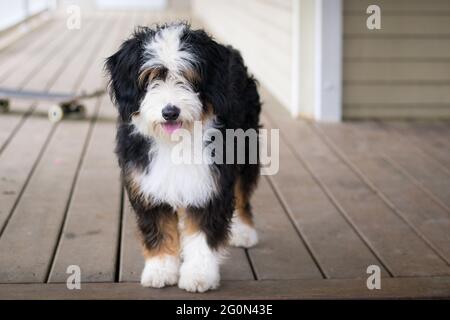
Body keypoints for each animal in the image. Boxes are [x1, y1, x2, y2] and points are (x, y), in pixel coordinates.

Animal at [105, 22, 260, 292]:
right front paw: (160, 270)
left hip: (247, 147)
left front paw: (199, 275)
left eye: (187, 77)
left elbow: (201, 234)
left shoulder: (209, 184)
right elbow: (158, 228)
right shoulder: (148, 184)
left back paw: (244, 231)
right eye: (152, 77)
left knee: (242, 191)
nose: (170, 112)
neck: (174, 143)